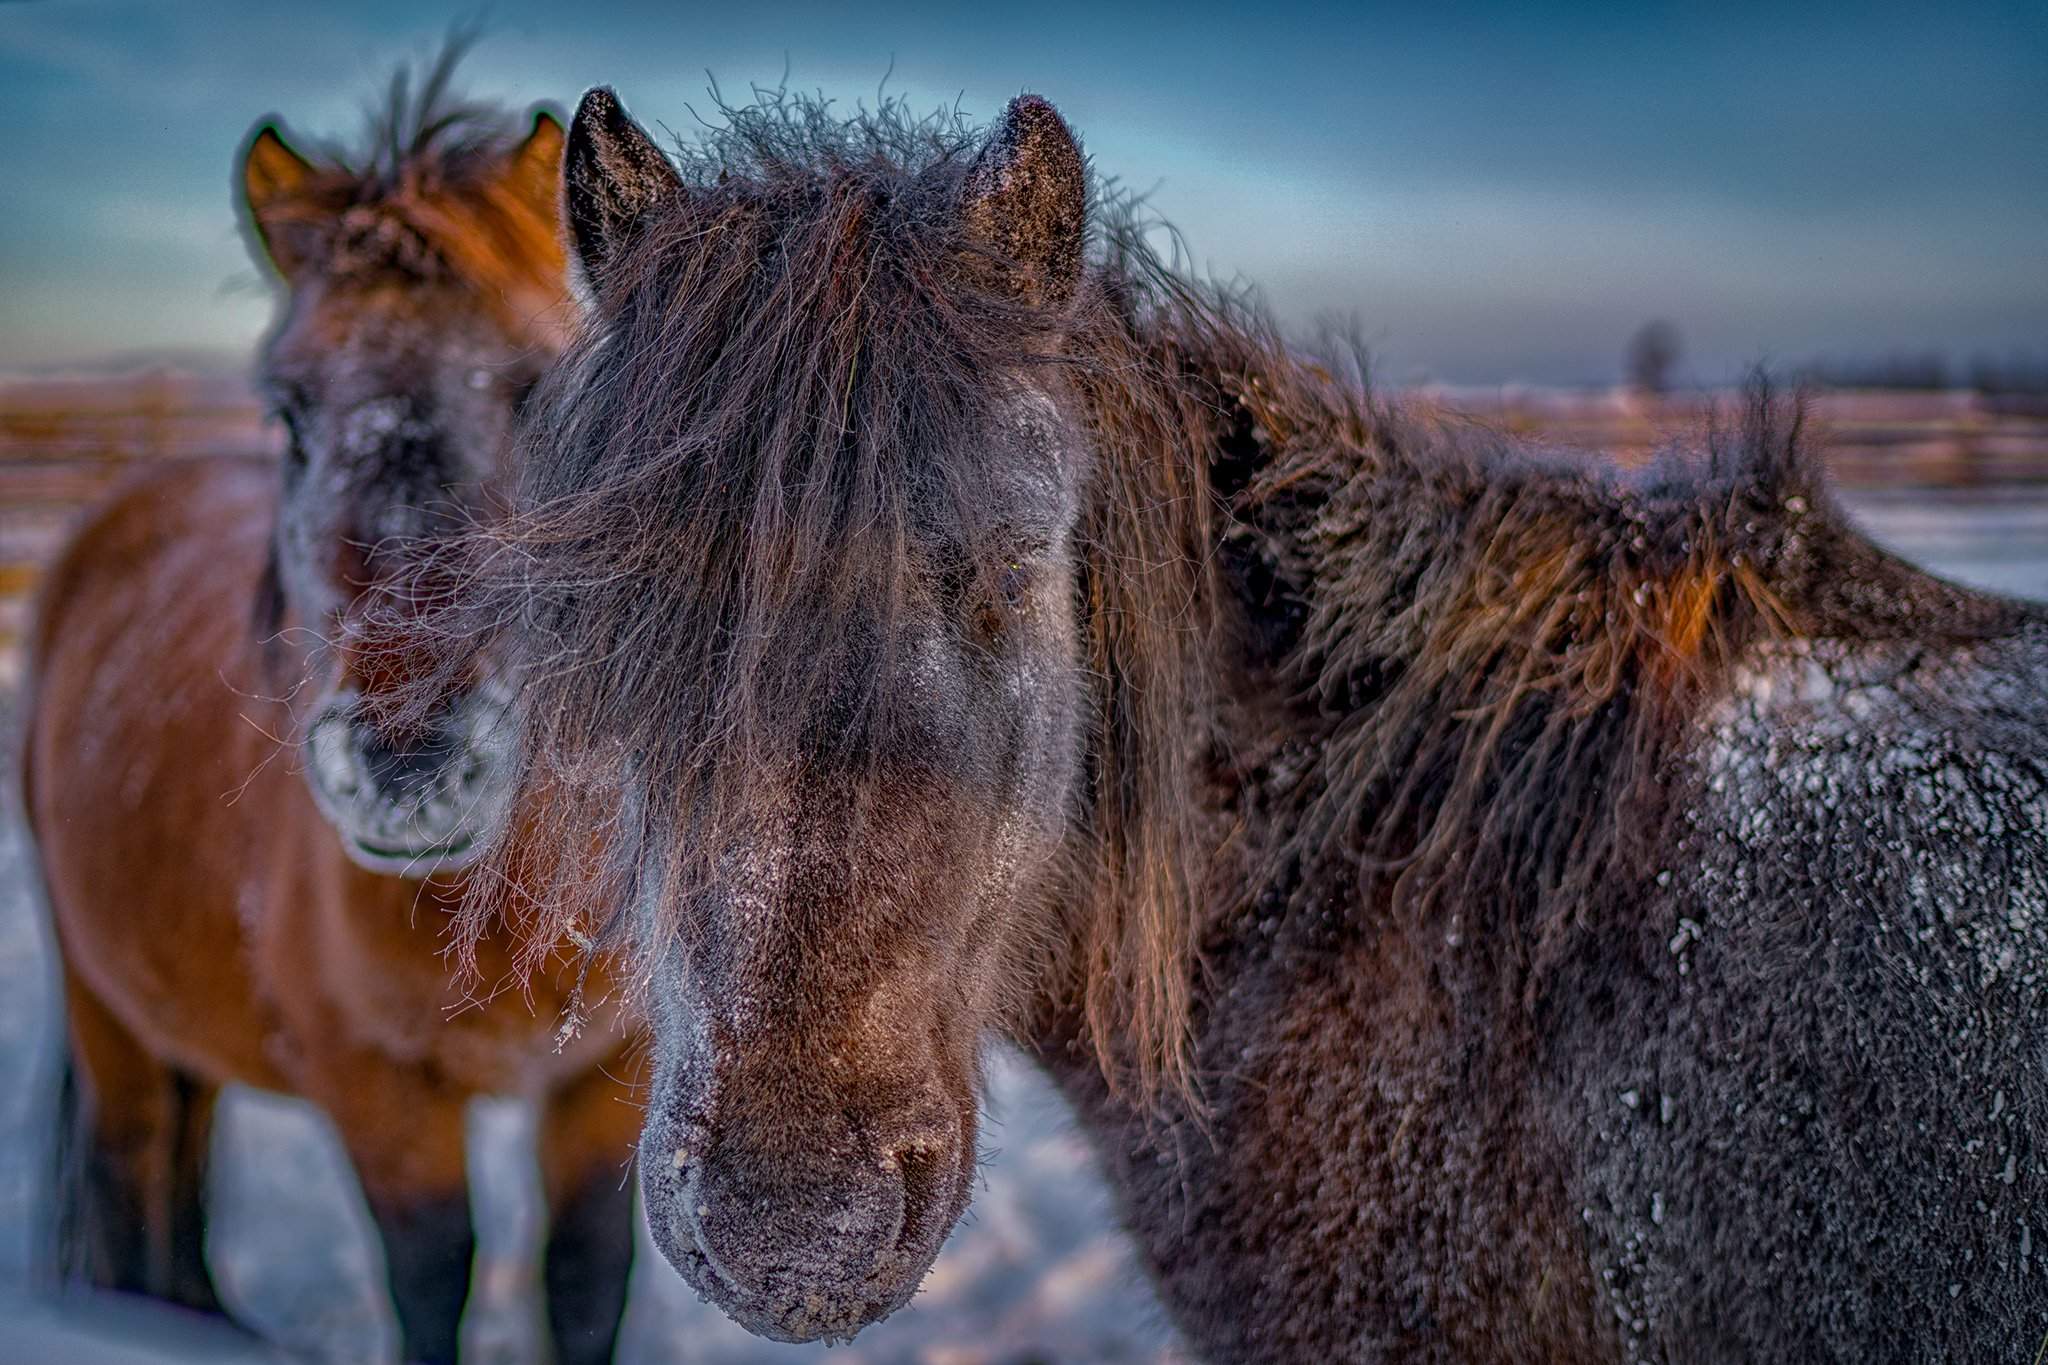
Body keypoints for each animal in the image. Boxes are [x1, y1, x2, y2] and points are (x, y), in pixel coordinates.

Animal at [22, 66, 638, 1365]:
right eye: (292, 415)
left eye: (535, 388)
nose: (411, 768)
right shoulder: (378, 1098)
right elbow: (432, 1283)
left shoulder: (610, 1081)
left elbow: (581, 1284)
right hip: (107, 1014)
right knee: (133, 1175)